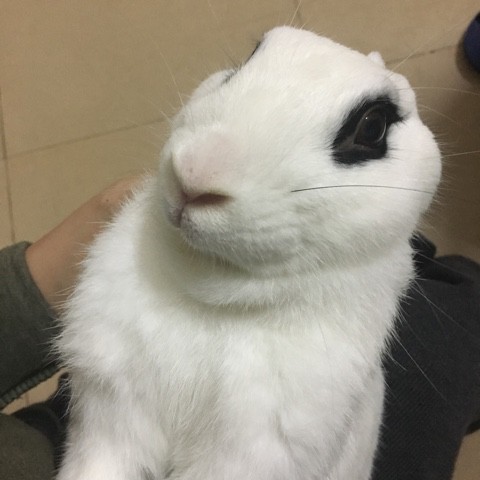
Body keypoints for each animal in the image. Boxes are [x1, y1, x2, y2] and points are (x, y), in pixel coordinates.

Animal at [56, 26, 441, 480]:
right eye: (243, 63)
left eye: (373, 127)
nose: (194, 174)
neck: (207, 294)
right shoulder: (110, 413)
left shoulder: (257, 448)